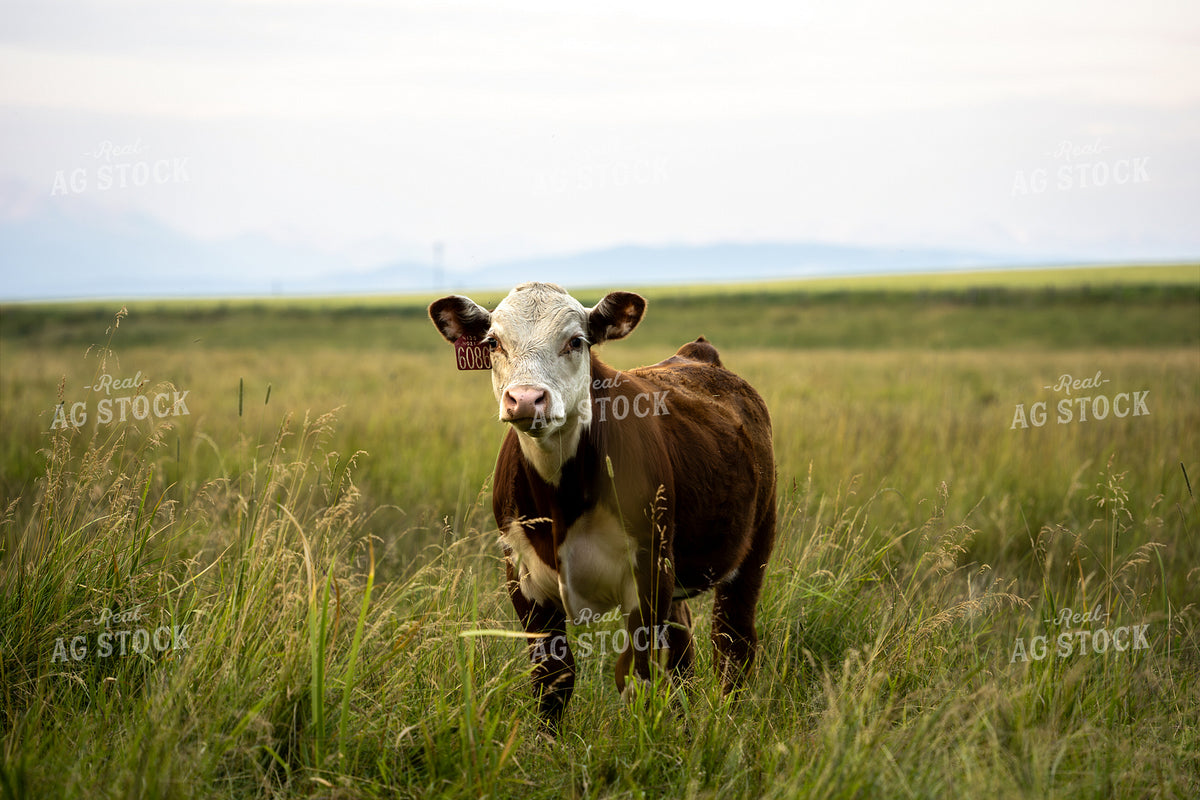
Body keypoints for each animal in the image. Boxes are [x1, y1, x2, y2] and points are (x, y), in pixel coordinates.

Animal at [428, 282, 776, 728]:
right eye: (493, 343)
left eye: (576, 341)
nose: (526, 399)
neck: (563, 503)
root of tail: (696, 353)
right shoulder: (522, 576)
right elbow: (554, 678)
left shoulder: (649, 569)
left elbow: (637, 675)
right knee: (684, 646)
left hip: (755, 539)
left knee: (732, 642)